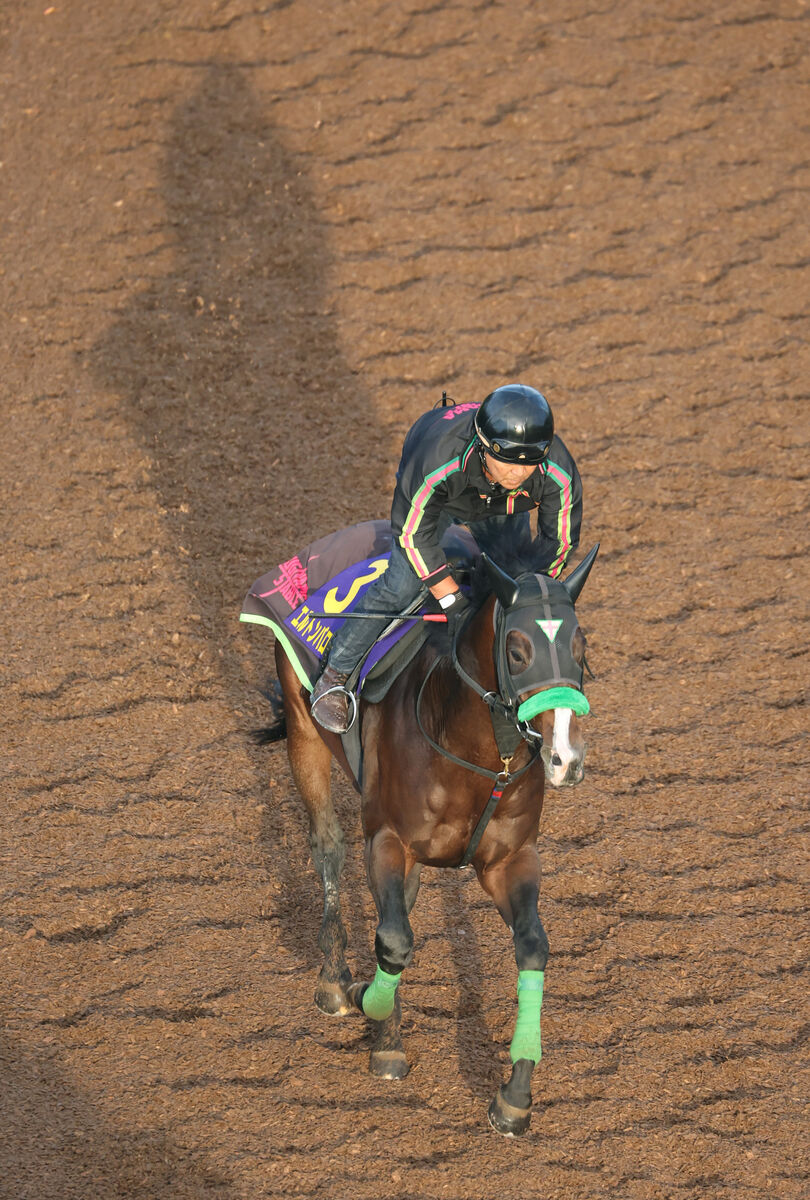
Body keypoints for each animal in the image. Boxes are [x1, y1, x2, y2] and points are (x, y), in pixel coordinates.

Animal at [262, 537, 600, 1132]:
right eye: (517, 651)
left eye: (580, 647)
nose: (566, 759)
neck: (477, 756)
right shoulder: (386, 841)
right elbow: (395, 941)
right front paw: (373, 1013)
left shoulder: (510, 860)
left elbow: (532, 948)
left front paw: (514, 1094)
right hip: (304, 734)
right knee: (328, 849)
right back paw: (334, 979)